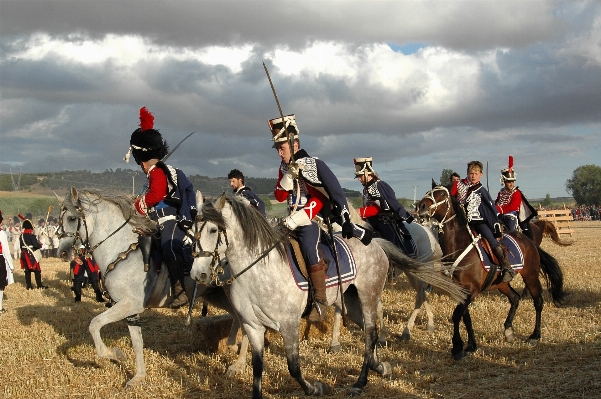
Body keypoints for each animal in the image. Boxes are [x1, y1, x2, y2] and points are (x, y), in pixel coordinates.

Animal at [190, 193, 466, 396]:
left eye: (213, 230)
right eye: (192, 229)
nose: (197, 274)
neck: (259, 269)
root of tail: (376, 243)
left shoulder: (288, 325)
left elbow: (294, 367)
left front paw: (315, 388)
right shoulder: (253, 327)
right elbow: (257, 370)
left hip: (369, 296)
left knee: (372, 331)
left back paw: (361, 381)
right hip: (351, 303)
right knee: (369, 330)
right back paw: (379, 366)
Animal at [414, 186, 564, 360]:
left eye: (442, 194)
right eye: (429, 191)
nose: (420, 206)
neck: (459, 244)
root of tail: (529, 241)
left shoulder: (472, 290)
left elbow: (457, 315)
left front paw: (457, 347)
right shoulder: (462, 291)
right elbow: (466, 317)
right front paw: (471, 345)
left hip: (530, 275)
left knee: (538, 301)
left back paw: (535, 335)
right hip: (500, 283)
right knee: (515, 298)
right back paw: (508, 330)